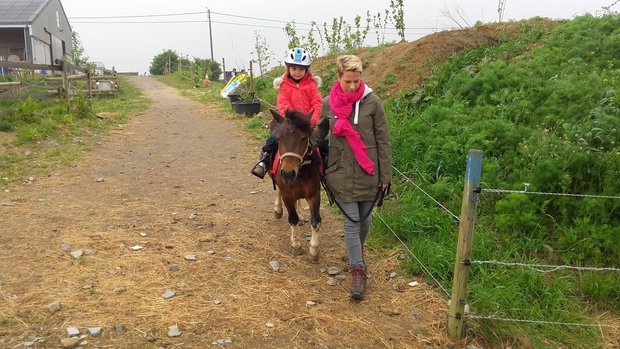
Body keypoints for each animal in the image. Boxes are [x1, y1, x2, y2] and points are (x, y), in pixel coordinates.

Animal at [268, 109, 322, 260]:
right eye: (279, 139)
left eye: (303, 138)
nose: (288, 173)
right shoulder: (287, 195)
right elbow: (292, 218)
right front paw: (296, 245)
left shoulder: (314, 194)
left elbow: (315, 221)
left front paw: (314, 250)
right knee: (277, 190)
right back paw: (277, 210)